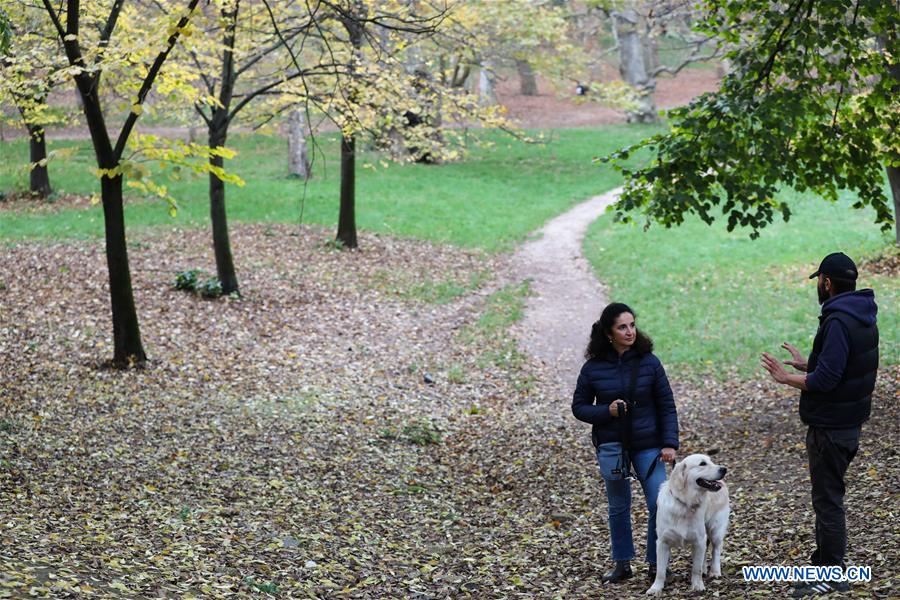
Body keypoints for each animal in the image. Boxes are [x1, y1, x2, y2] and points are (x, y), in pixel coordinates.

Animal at [644, 454, 728, 596]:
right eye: (702, 463)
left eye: (711, 461)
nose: (724, 469)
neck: (684, 502)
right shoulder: (662, 542)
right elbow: (660, 571)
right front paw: (656, 588)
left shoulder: (699, 539)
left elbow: (696, 569)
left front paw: (697, 585)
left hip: (715, 529)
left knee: (716, 550)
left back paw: (715, 571)